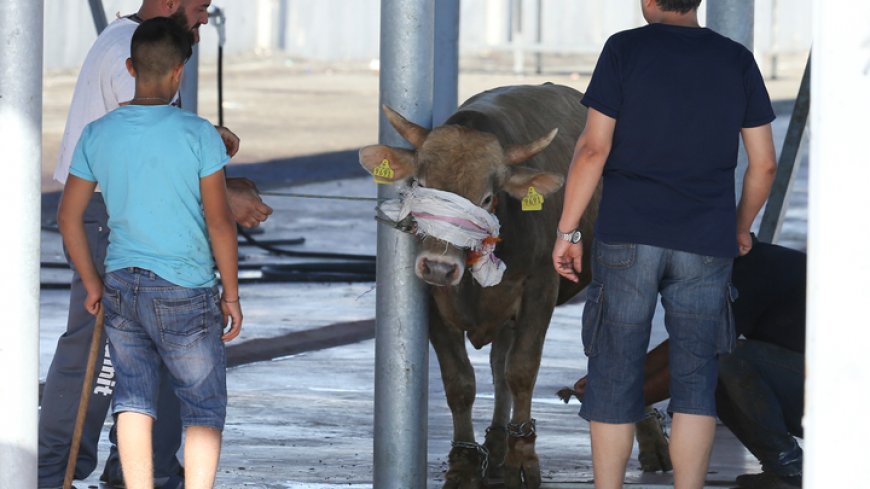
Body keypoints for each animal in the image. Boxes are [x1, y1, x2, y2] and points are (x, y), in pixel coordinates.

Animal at [360, 85, 600, 488]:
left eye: (486, 198)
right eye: (420, 185)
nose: (439, 267)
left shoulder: (540, 287)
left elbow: (522, 370)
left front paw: (523, 460)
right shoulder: (433, 301)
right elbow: (460, 381)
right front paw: (464, 462)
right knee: (497, 364)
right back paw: (497, 440)